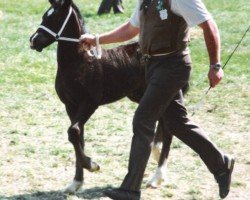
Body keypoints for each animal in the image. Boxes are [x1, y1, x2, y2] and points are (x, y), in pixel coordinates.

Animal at [29, 0, 176, 194]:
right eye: (44, 15)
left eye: (55, 18)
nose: (33, 41)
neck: (80, 63)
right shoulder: (70, 105)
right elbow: (78, 137)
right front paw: (76, 182)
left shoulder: (90, 103)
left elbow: (73, 131)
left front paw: (92, 165)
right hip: (140, 95)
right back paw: (156, 155)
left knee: (168, 128)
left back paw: (157, 176)